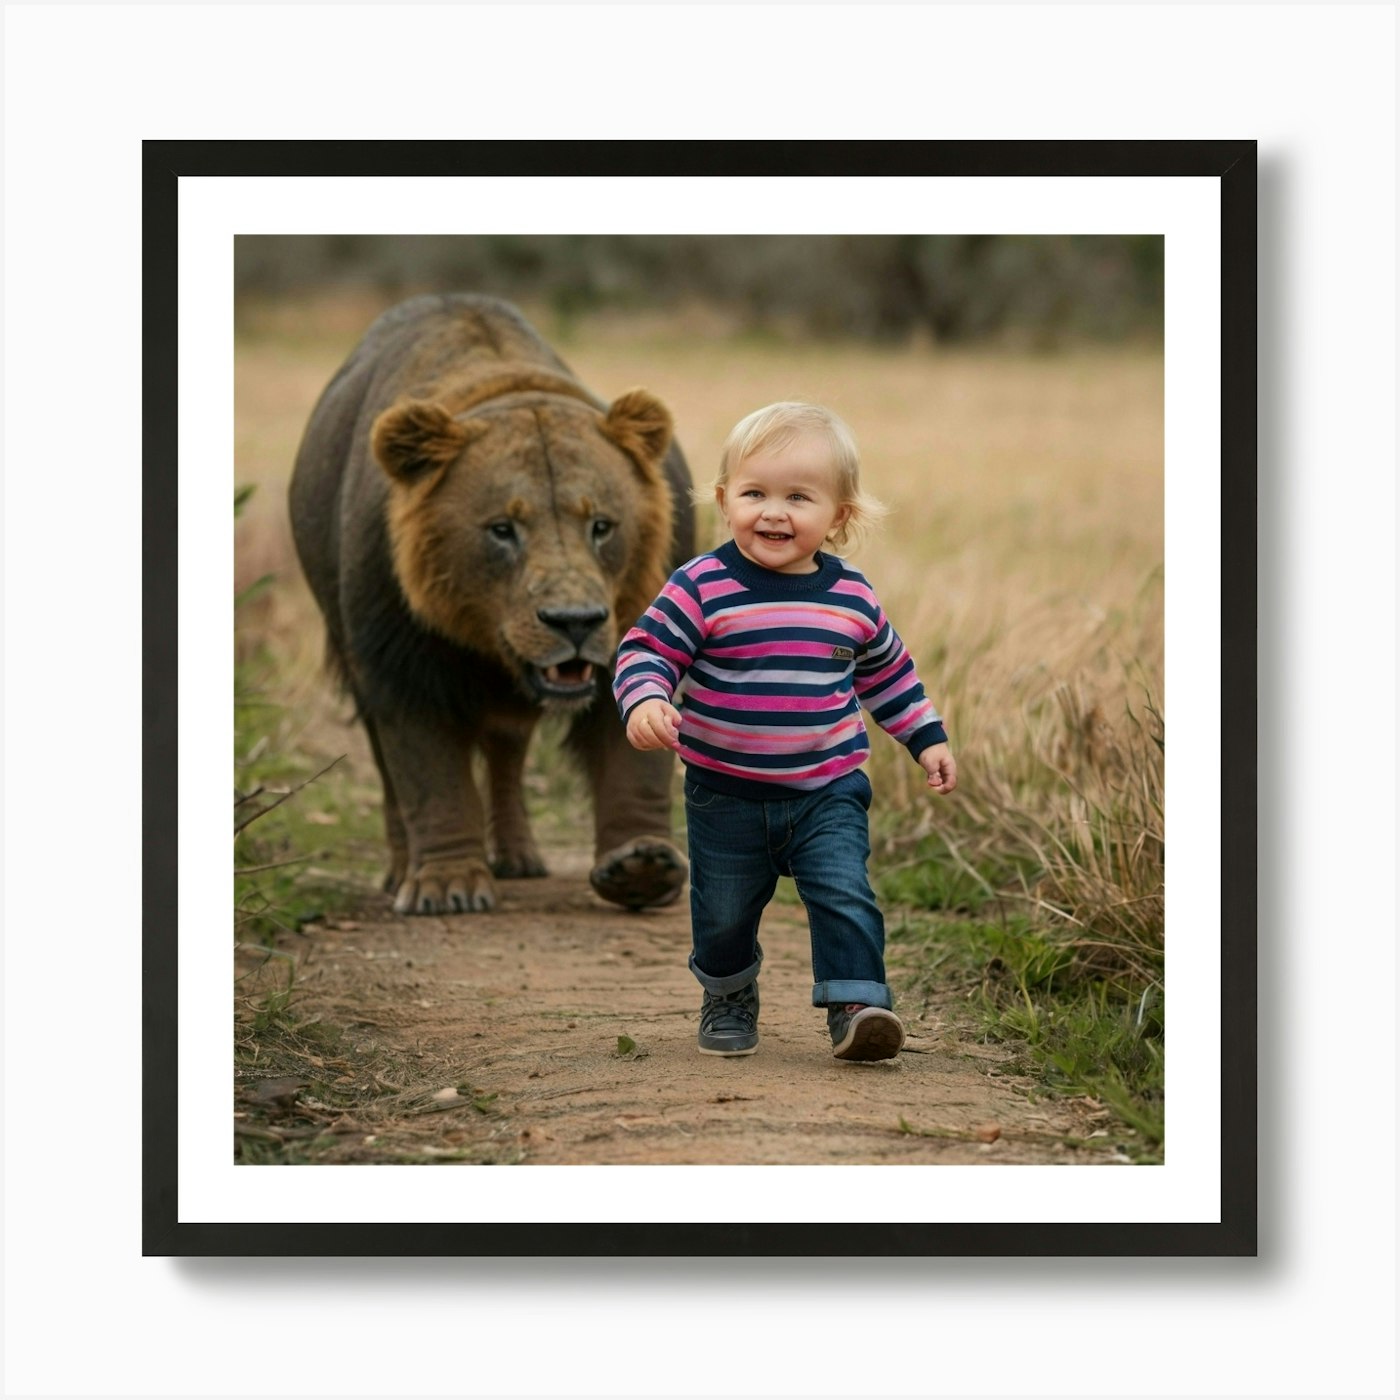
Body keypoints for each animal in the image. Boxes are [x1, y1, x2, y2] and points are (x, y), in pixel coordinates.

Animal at [288, 294, 694, 915]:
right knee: (391, 773)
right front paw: (447, 884)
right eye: (502, 530)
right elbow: (431, 776)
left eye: (602, 526)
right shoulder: (397, 661)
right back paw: (403, 869)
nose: (575, 622)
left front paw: (644, 864)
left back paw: (519, 858)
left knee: (507, 753)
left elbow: (635, 763)